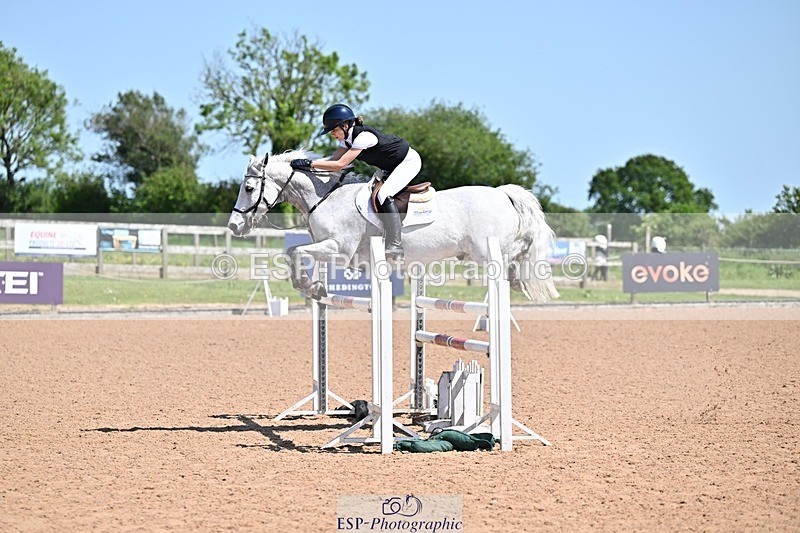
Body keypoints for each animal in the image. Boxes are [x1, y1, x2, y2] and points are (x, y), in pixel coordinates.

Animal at [227, 150, 559, 303]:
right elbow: (294, 252)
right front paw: (314, 286)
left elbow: (295, 252)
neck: (325, 197)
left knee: (517, 251)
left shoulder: (339, 249)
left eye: (248, 188)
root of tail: (503, 192)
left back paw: (517, 276)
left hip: (484, 250)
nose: (234, 226)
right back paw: (516, 280)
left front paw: (310, 286)